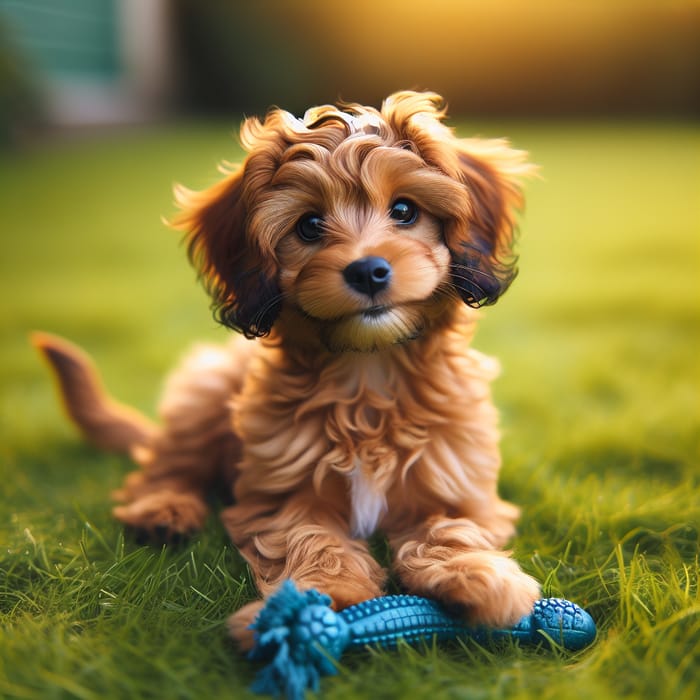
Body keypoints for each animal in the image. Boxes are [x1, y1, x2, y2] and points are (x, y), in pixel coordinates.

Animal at [35, 90, 540, 648]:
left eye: (405, 210)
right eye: (309, 226)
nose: (368, 270)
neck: (369, 371)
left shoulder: (455, 481)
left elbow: (451, 529)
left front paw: (475, 576)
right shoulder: (284, 488)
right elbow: (310, 535)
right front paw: (327, 595)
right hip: (204, 392)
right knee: (167, 465)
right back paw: (163, 511)